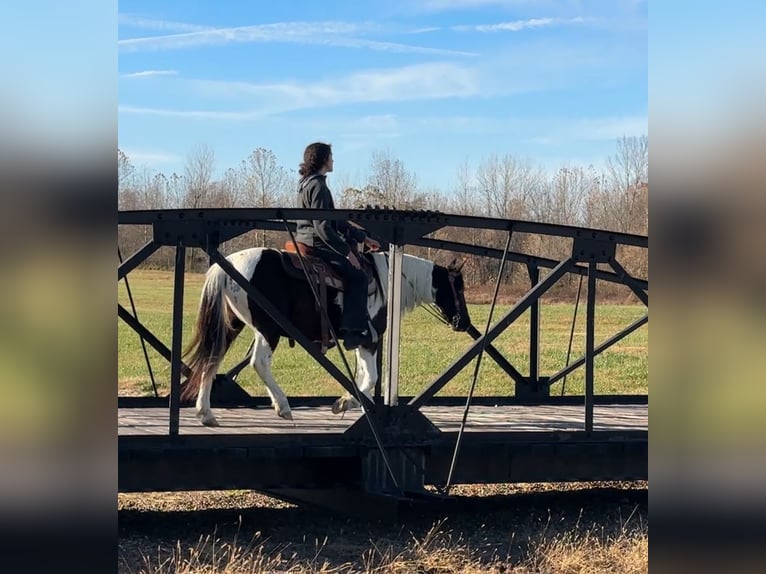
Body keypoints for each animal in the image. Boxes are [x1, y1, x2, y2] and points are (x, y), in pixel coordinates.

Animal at [180, 246, 471, 426]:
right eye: (458, 287)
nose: (464, 323)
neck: (388, 281)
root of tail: (227, 265)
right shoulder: (369, 339)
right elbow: (371, 376)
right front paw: (346, 402)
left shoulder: (361, 341)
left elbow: (364, 375)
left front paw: (356, 404)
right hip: (268, 329)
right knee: (258, 362)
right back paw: (283, 406)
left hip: (231, 326)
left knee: (211, 361)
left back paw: (206, 413)